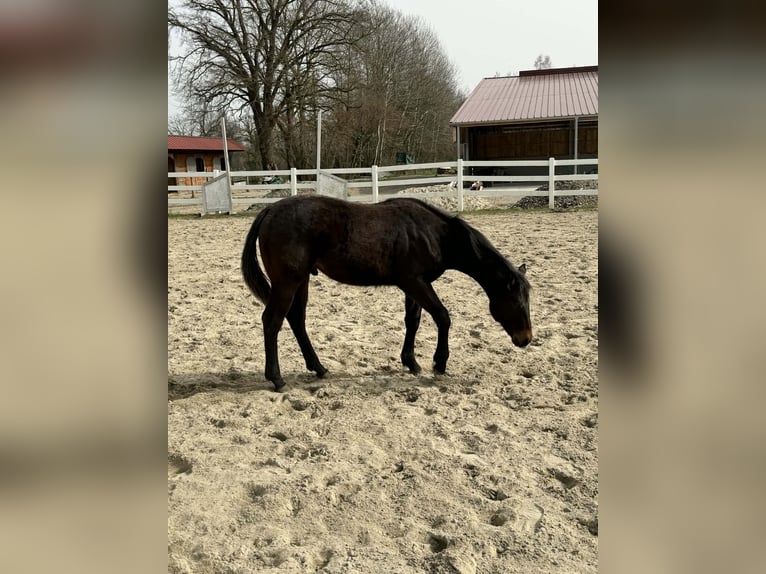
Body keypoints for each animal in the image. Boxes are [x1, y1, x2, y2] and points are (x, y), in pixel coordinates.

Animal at [241, 195, 532, 391]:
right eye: (517, 302)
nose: (526, 339)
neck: (434, 234)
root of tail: (270, 209)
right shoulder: (414, 282)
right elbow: (442, 316)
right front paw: (439, 363)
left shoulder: (415, 286)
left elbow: (413, 321)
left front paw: (411, 362)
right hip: (287, 282)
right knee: (272, 321)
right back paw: (277, 379)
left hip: (301, 281)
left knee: (296, 320)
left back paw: (319, 368)